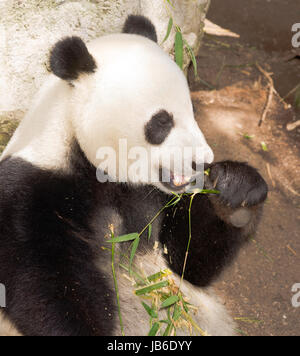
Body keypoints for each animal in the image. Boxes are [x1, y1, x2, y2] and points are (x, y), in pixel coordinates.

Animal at [0, 14, 268, 336]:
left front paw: (234, 190)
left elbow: (188, 262)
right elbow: (47, 289)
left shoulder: (152, 197)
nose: (200, 161)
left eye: (192, 111)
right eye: (162, 122)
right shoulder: (29, 193)